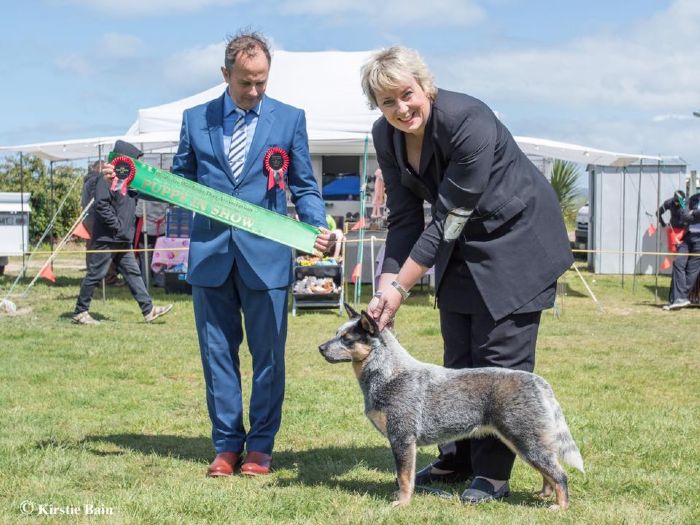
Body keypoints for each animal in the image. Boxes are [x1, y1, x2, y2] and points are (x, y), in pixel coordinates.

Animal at [318, 304, 584, 509]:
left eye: (347, 339)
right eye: (336, 333)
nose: (320, 348)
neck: (389, 374)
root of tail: (539, 381)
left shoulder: (402, 438)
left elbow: (404, 477)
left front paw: (402, 503)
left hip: (524, 439)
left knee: (559, 473)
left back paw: (560, 507)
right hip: (527, 441)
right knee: (549, 469)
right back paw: (543, 495)